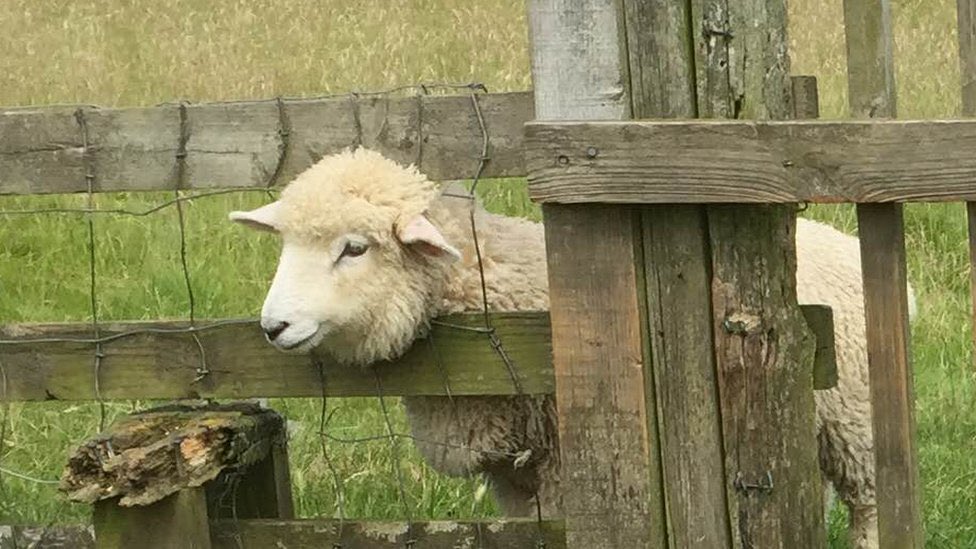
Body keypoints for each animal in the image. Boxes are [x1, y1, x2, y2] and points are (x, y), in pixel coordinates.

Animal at [229, 146, 915, 548]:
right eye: (286, 243)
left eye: (355, 247)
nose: (272, 327)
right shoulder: (510, 473)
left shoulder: (564, 460)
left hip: (857, 422)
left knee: (871, 508)